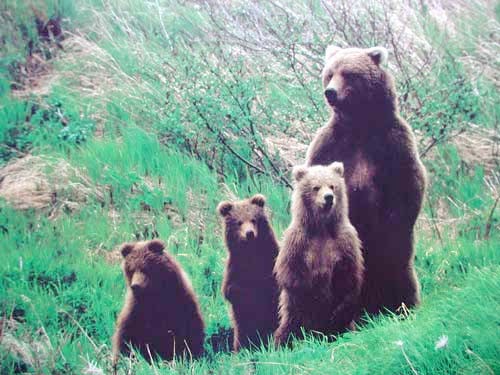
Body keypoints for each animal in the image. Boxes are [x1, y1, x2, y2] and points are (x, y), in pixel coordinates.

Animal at [113, 239, 205, 368]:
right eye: (131, 269)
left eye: (145, 268)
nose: (135, 286)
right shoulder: (136, 310)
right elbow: (125, 337)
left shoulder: (179, 303)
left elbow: (188, 332)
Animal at [218, 194, 282, 352]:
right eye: (239, 222)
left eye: (253, 219)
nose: (249, 233)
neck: (252, 254)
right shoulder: (235, 269)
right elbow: (232, 291)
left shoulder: (272, 261)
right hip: (242, 328)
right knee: (243, 336)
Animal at [274, 163, 364, 348]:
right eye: (315, 187)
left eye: (332, 186)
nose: (329, 198)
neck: (321, 227)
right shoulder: (297, 243)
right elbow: (290, 275)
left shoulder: (345, 242)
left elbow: (350, 276)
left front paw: (337, 312)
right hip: (291, 319)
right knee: (286, 331)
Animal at [304, 44, 426, 314]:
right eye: (329, 73)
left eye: (348, 73)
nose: (330, 92)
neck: (360, 126)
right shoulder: (329, 144)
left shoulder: (393, 143)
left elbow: (409, 184)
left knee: (399, 271)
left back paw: (402, 306)